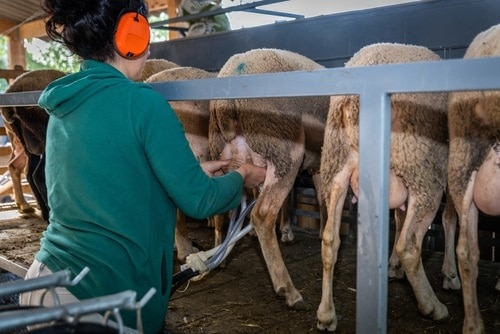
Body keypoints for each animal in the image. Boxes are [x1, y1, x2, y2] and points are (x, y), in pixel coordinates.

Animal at [209, 48, 330, 310]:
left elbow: (321, 197)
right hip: (284, 149)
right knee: (262, 215)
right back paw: (288, 290)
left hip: (223, 155)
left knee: (218, 206)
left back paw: (220, 256)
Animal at [318, 42, 452, 332]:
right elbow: (453, 222)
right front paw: (452, 275)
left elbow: (400, 218)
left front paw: (392, 268)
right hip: (423, 171)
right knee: (409, 247)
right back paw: (432, 306)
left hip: (336, 165)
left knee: (329, 239)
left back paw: (326, 314)